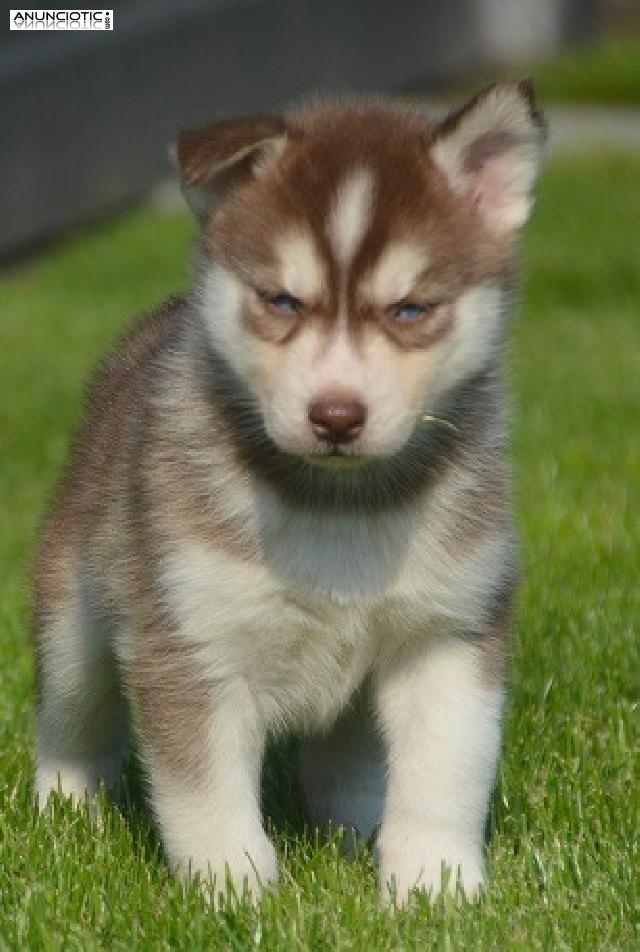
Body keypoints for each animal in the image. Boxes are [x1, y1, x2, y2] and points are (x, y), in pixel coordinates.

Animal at [33, 82, 544, 900]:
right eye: (281, 300)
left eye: (409, 309)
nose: (336, 415)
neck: (337, 504)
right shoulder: (190, 638)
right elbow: (204, 789)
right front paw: (231, 889)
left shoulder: (449, 631)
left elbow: (446, 773)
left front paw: (433, 885)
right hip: (76, 613)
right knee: (73, 714)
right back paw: (64, 808)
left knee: (346, 763)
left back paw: (356, 830)